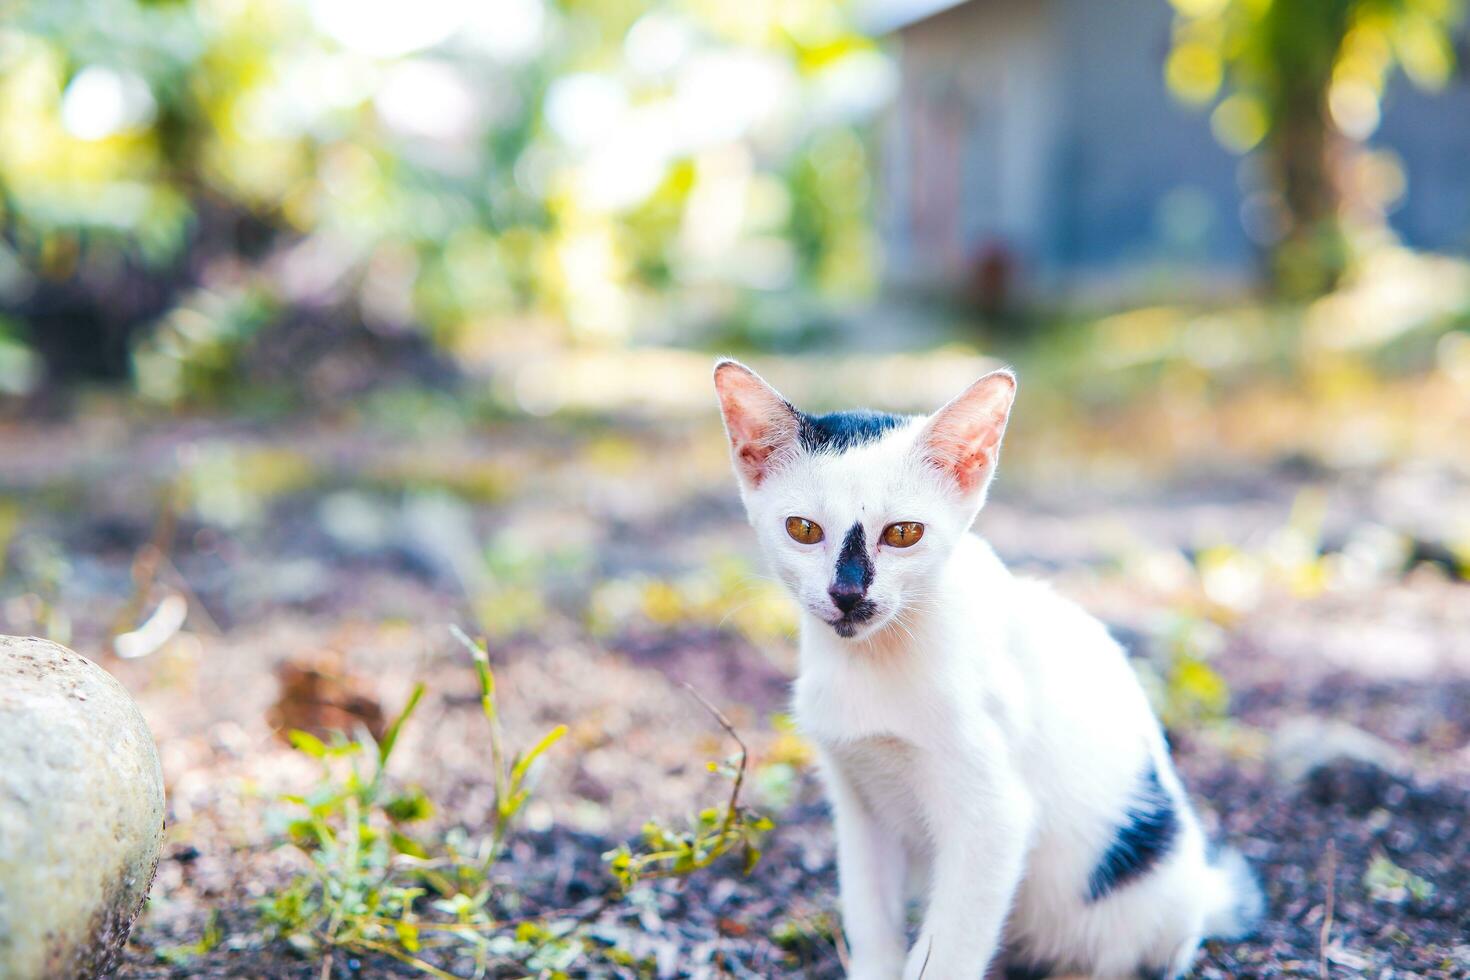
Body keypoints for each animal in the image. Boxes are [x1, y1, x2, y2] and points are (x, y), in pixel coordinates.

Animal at [714, 359, 1264, 980]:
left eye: (903, 533)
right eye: (803, 529)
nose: (848, 593)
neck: (873, 664)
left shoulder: (995, 819)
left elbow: (948, 950)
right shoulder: (858, 805)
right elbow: (872, 921)